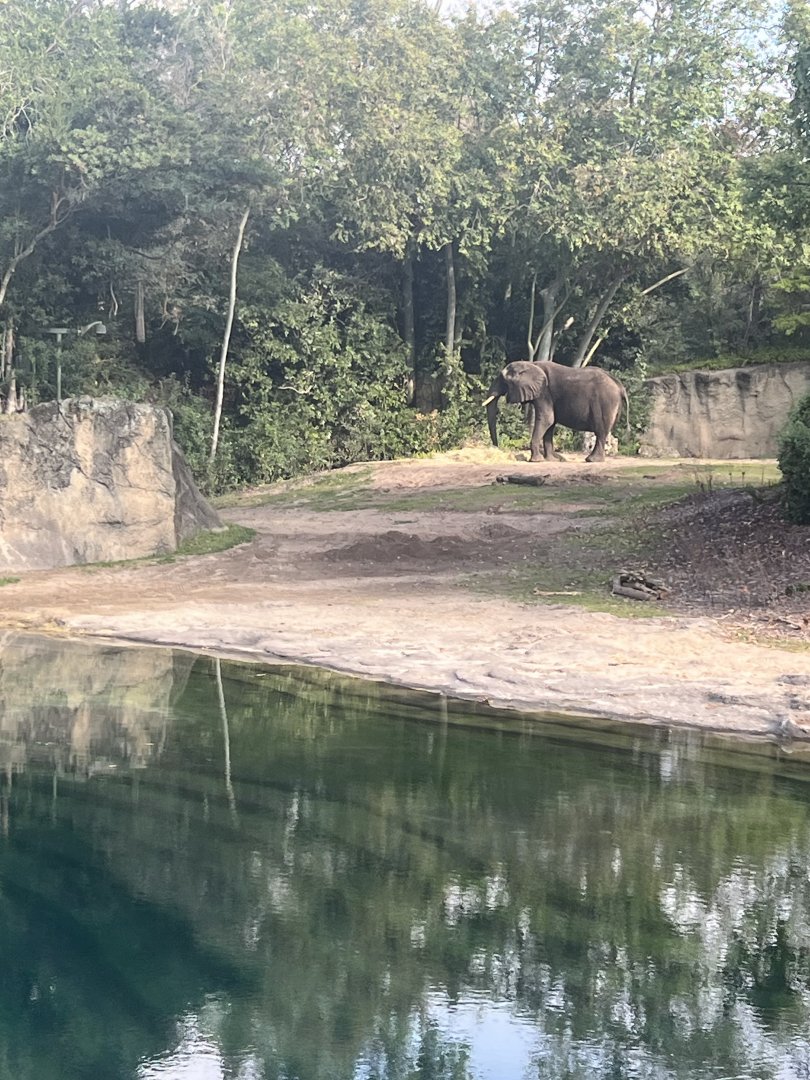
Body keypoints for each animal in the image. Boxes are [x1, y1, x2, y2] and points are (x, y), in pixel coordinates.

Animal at [483, 360, 629, 462]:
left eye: (503, 380)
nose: (496, 447)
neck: (531, 364)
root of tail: (620, 386)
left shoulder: (544, 393)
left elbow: (547, 419)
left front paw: (536, 461)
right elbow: (550, 424)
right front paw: (550, 460)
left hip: (605, 403)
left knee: (600, 431)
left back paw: (592, 460)